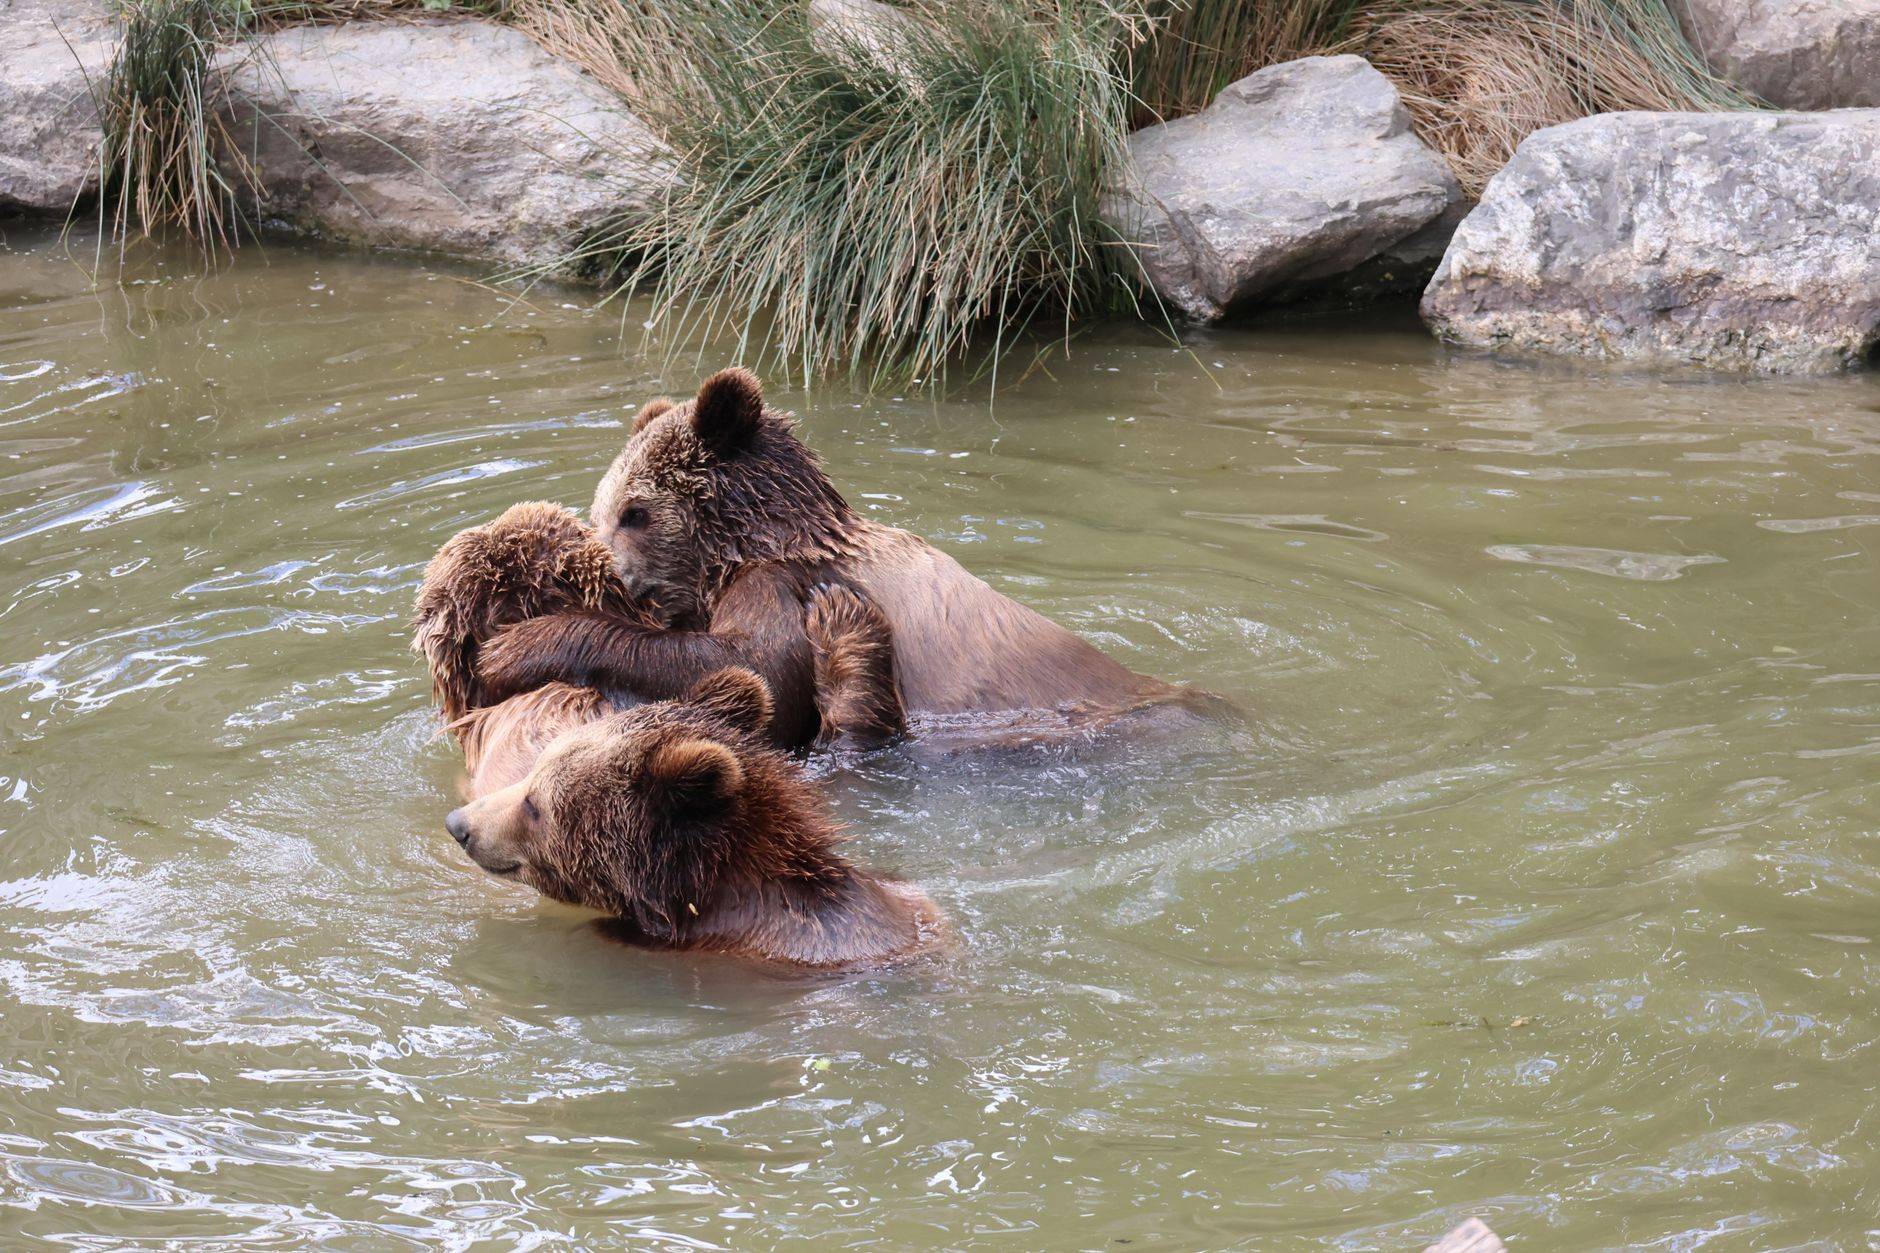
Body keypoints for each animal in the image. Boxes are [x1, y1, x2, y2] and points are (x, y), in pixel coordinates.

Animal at [472, 369, 1190, 740]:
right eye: (599, 512)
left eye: (635, 512)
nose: (617, 577)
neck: (746, 545)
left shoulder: (785, 584)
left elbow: (756, 668)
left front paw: (514, 645)